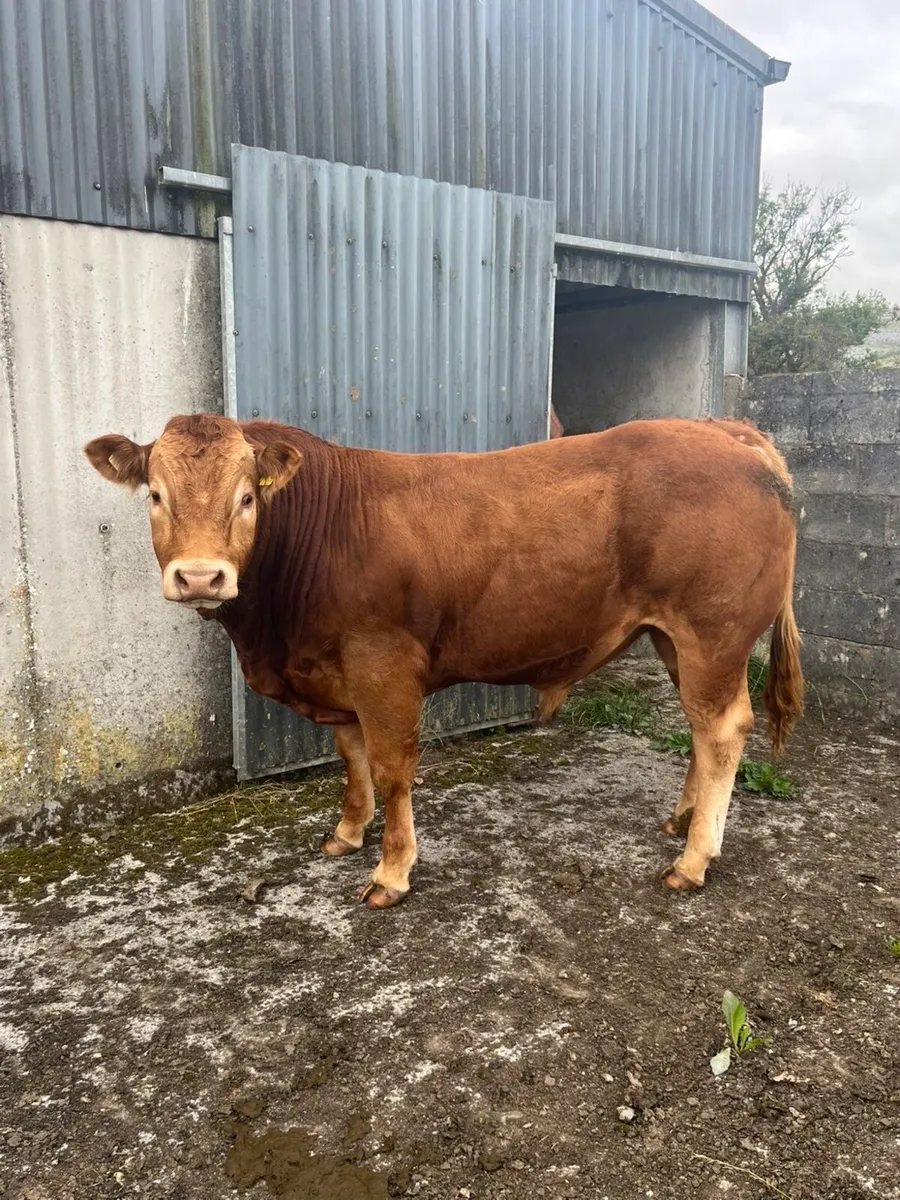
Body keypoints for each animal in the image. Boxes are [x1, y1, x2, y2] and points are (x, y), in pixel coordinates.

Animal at [85, 414, 803, 909]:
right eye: (155, 494)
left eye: (246, 497)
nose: (200, 576)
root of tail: (723, 429)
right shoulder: (338, 670)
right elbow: (351, 755)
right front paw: (347, 831)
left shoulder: (382, 662)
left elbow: (391, 766)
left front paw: (391, 871)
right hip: (674, 639)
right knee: (700, 728)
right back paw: (681, 821)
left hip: (713, 634)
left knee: (722, 730)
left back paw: (693, 859)